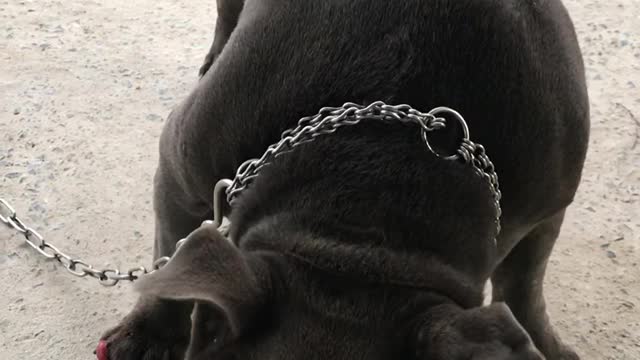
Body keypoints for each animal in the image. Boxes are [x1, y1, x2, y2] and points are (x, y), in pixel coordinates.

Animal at [97, 1, 588, 358]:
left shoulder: (547, 210)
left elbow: (524, 284)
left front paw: (545, 343)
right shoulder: (181, 175)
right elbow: (169, 265)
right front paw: (148, 338)